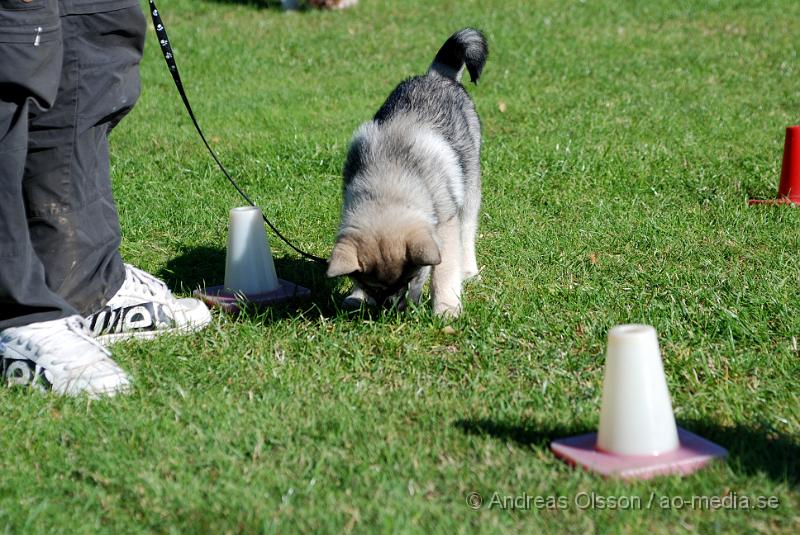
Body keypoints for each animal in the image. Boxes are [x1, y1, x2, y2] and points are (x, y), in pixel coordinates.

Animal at [324, 27, 488, 316]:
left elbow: (444, 269)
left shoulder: (444, 225)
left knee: (467, 231)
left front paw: (446, 307)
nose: (393, 309)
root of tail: (437, 75)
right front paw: (357, 296)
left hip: (469, 186)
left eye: (412, 279)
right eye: (373, 287)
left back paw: (468, 271)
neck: (388, 181)